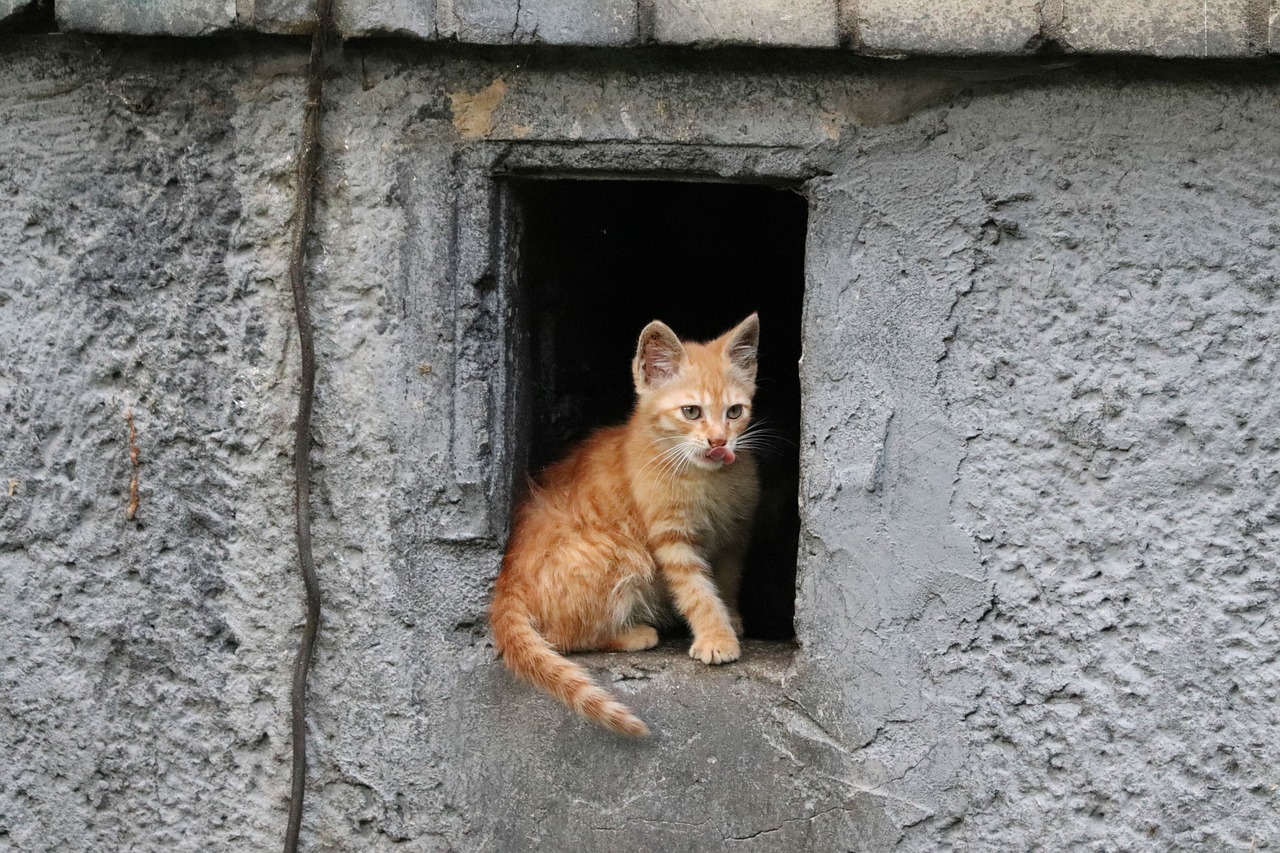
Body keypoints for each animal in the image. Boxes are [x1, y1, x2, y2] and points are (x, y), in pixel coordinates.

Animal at [488, 312, 757, 732]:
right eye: (691, 412)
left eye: (734, 412)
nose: (719, 443)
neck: (703, 477)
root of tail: (507, 579)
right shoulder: (670, 539)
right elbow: (696, 591)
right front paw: (717, 637)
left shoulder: (735, 534)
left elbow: (726, 580)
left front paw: (730, 617)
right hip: (616, 550)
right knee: (561, 637)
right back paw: (634, 635)